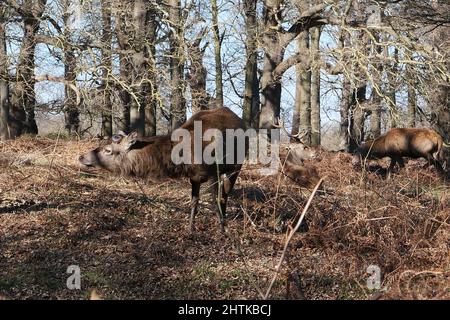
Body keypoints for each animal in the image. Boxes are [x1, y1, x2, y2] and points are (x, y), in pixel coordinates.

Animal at [79, 107, 244, 232]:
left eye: (108, 150)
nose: (81, 156)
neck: (186, 159)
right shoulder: (194, 177)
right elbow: (194, 201)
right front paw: (190, 229)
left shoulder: (213, 172)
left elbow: (215, 202)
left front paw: (222, 231)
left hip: (236, 167)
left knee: (224, 195)